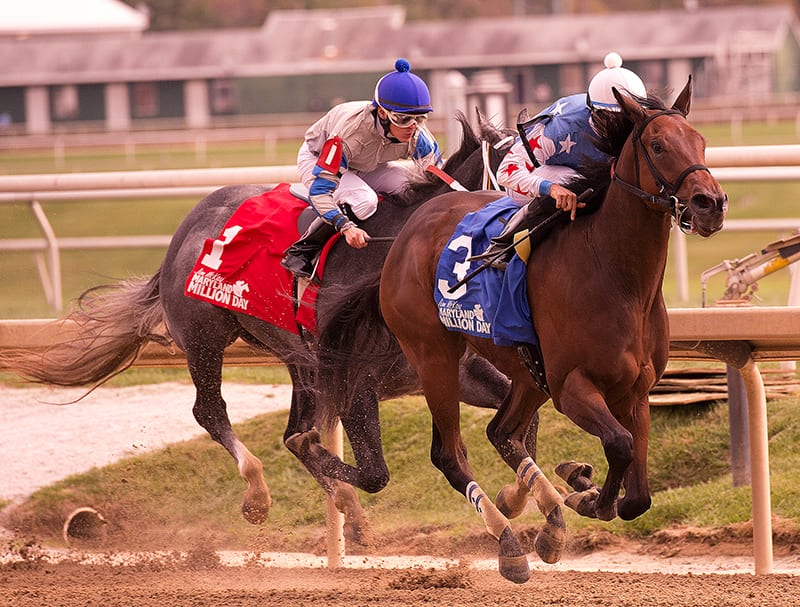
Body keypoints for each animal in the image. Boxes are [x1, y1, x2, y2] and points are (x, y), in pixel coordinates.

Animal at [4, 113, 512, 540]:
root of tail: (181, 232)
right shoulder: (357, 384)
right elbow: (372, 472)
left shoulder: (457, 371)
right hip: (205, 340)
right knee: (210, 412)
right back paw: (258, 495)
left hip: (299, 363)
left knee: (287, 432)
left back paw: (350, 516)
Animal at [318, 78, 724, 580]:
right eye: (658, 145)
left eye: (701, 141)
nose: (711, 204)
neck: (616, 275)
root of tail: (400, 240)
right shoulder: (572, 388)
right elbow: (619, 444)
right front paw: (585, 493)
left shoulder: (636, 390)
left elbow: (638, 496)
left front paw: (582, 487)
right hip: (433, 355)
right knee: (450, 454)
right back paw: (510, 544)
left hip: (526, 373)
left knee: (501, 432)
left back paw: (543, 517)